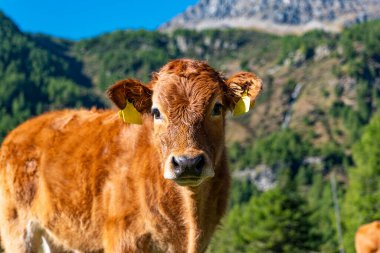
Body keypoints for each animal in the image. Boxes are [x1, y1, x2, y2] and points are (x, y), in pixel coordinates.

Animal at [0, 59, 262, 253]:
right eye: (156, 111)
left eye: (217, 107)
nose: (187, 162)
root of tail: (22, 129)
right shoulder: (122, 237)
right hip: (17, 228)